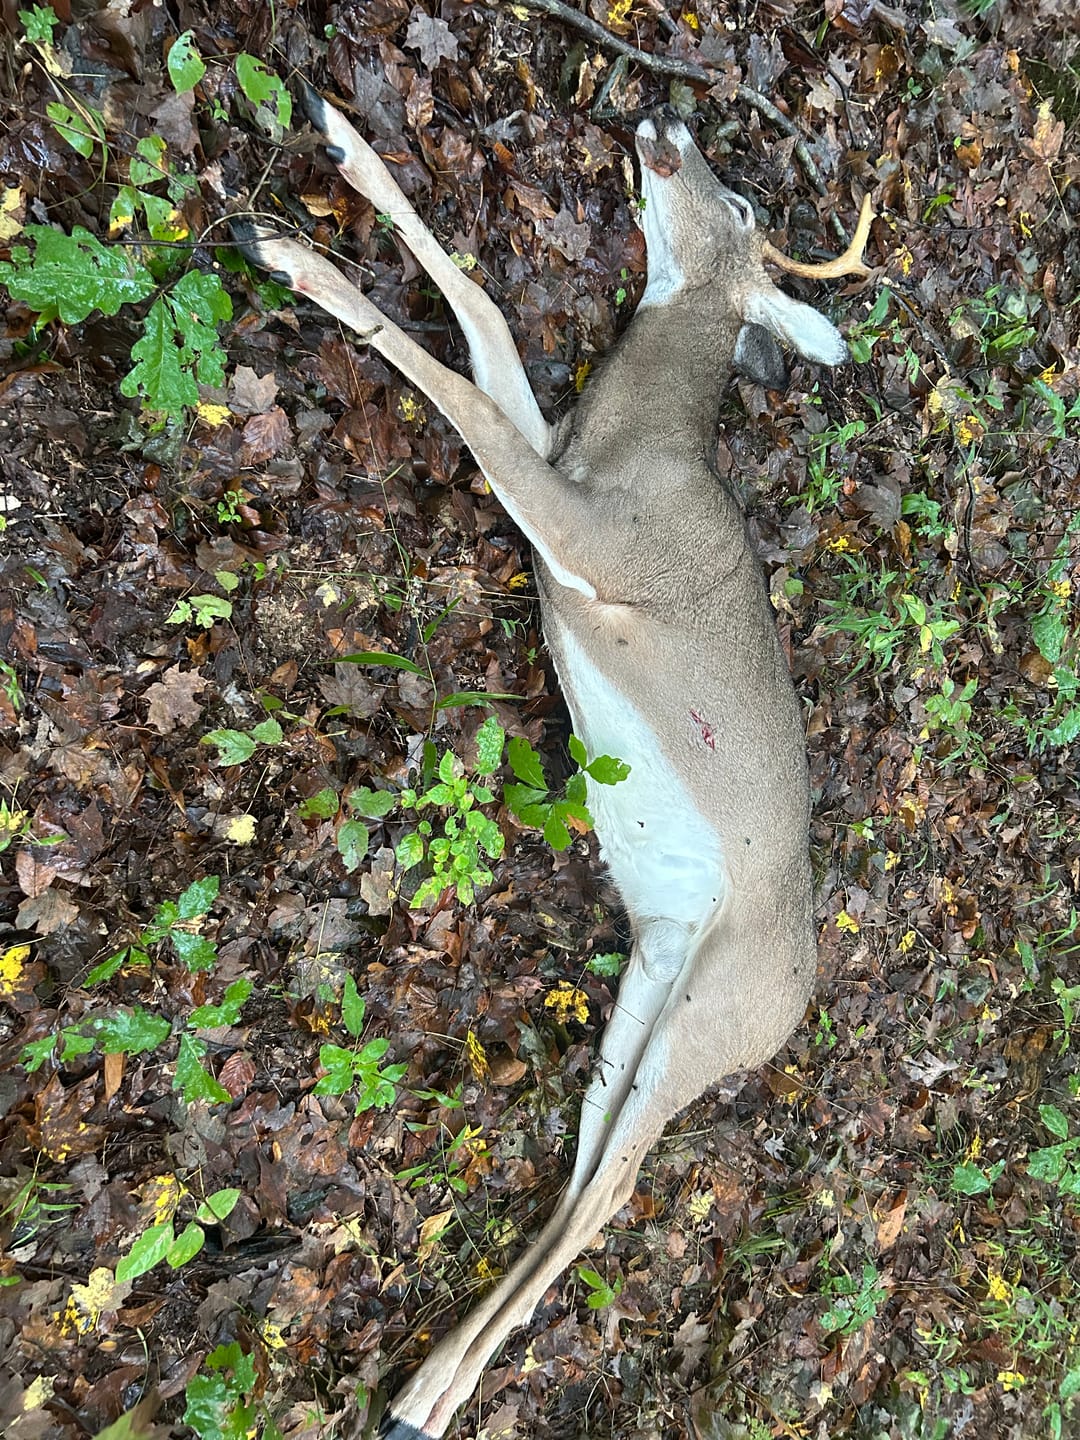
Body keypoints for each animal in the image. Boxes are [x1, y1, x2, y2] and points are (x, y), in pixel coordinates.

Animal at [235, 87, 871, 1440]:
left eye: (743, 203)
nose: (666, 121)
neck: (625, 452)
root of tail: (795, 1005)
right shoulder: (556, 462)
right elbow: (483, 315)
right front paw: (340, 146)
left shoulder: (583, 532)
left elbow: (462, 395)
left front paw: (292, 254)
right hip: (649, 993)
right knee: (585, 1166)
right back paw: (422, 1386)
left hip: (710, 1020)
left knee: (610, 1192)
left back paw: (427, 1397)